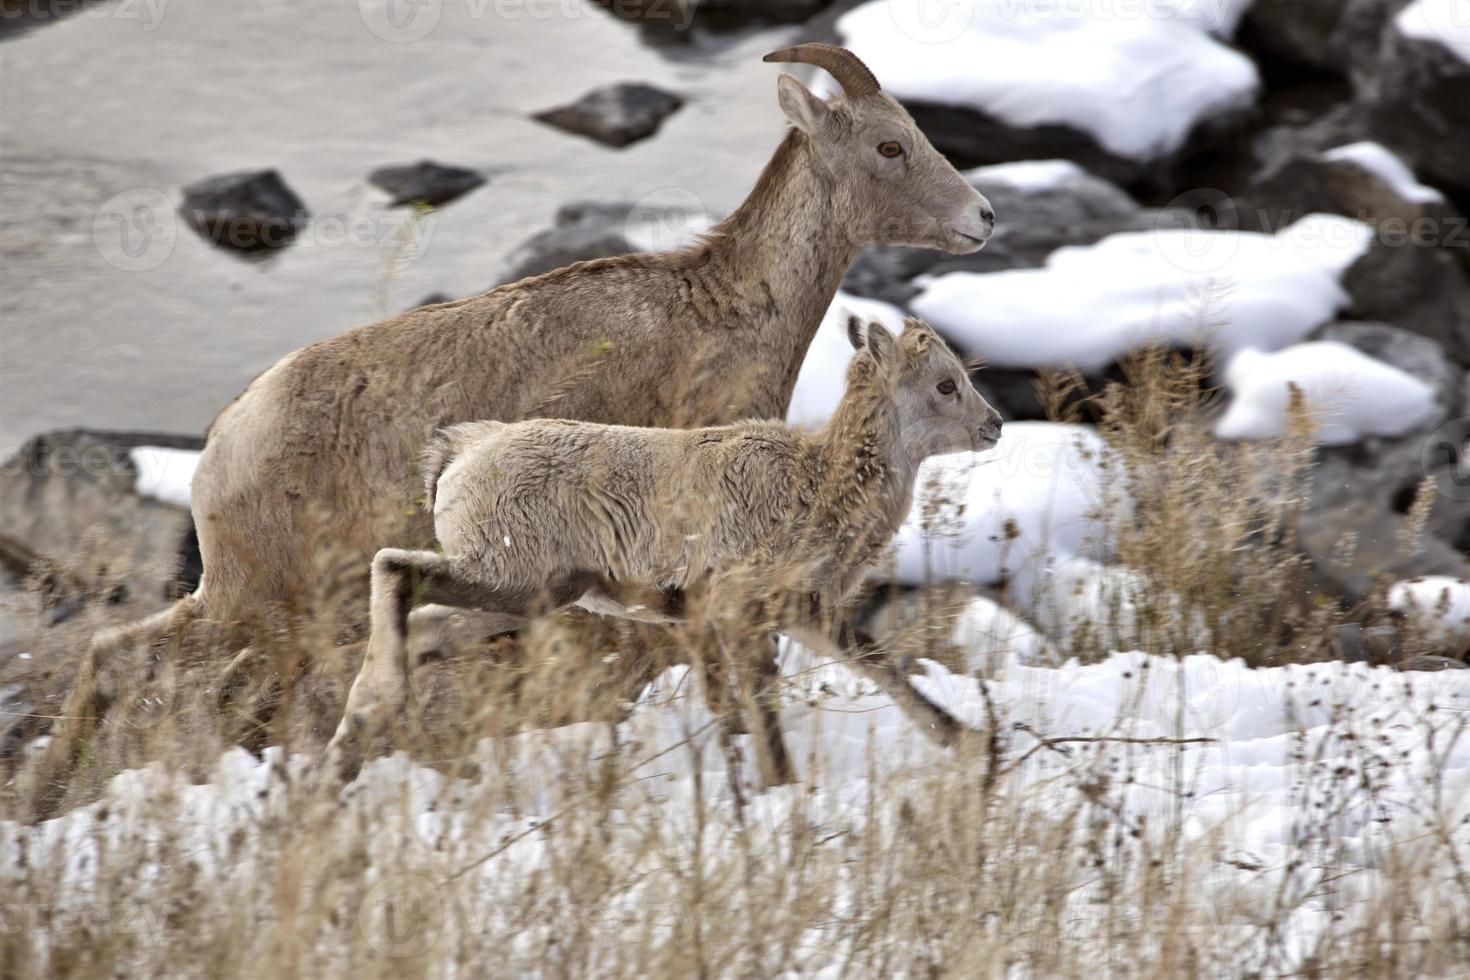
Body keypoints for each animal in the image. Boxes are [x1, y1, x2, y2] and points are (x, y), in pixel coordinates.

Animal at [327, 318, 1005, 787]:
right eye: (945, 384)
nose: (995, 425)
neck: (818, 487)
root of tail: (457, 457)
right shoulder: (737, 612)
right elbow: (758, 707)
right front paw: (781, 787)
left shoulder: (802, 613)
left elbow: (879, 665)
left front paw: (972, 745)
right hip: (512, 582)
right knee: (394, 571)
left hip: (519, 597)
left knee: (420, 625)